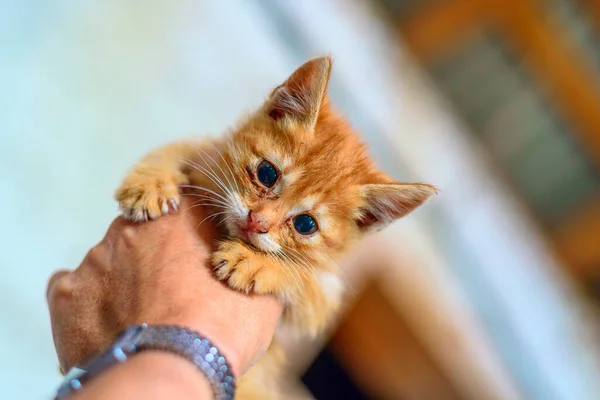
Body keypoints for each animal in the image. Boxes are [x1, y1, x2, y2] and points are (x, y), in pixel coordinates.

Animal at [115, 57, 434, 400]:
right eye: (267, 173)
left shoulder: (324, 297)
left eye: (305, 224)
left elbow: (303, 276)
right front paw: (150, 183)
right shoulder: (208, 151)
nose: (257, 221)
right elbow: (177, 148)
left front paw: (254, 261)